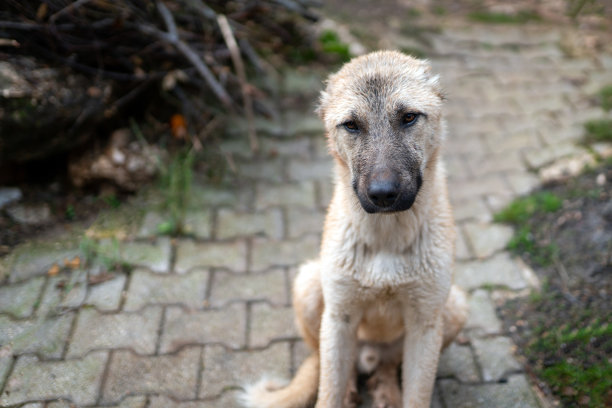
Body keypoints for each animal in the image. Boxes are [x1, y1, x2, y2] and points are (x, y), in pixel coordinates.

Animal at [240, 50, 468, 408]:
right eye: (351, 125)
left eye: (408, 117)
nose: (383, 194)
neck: (386, 238)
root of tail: (368, 355)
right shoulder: (339, 318)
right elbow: (327, 393)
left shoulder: (425, 324)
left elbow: (417, 396)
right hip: (310, 286)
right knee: (328, 364)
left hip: (454, 306)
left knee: (388, 364)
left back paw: (386, 389)